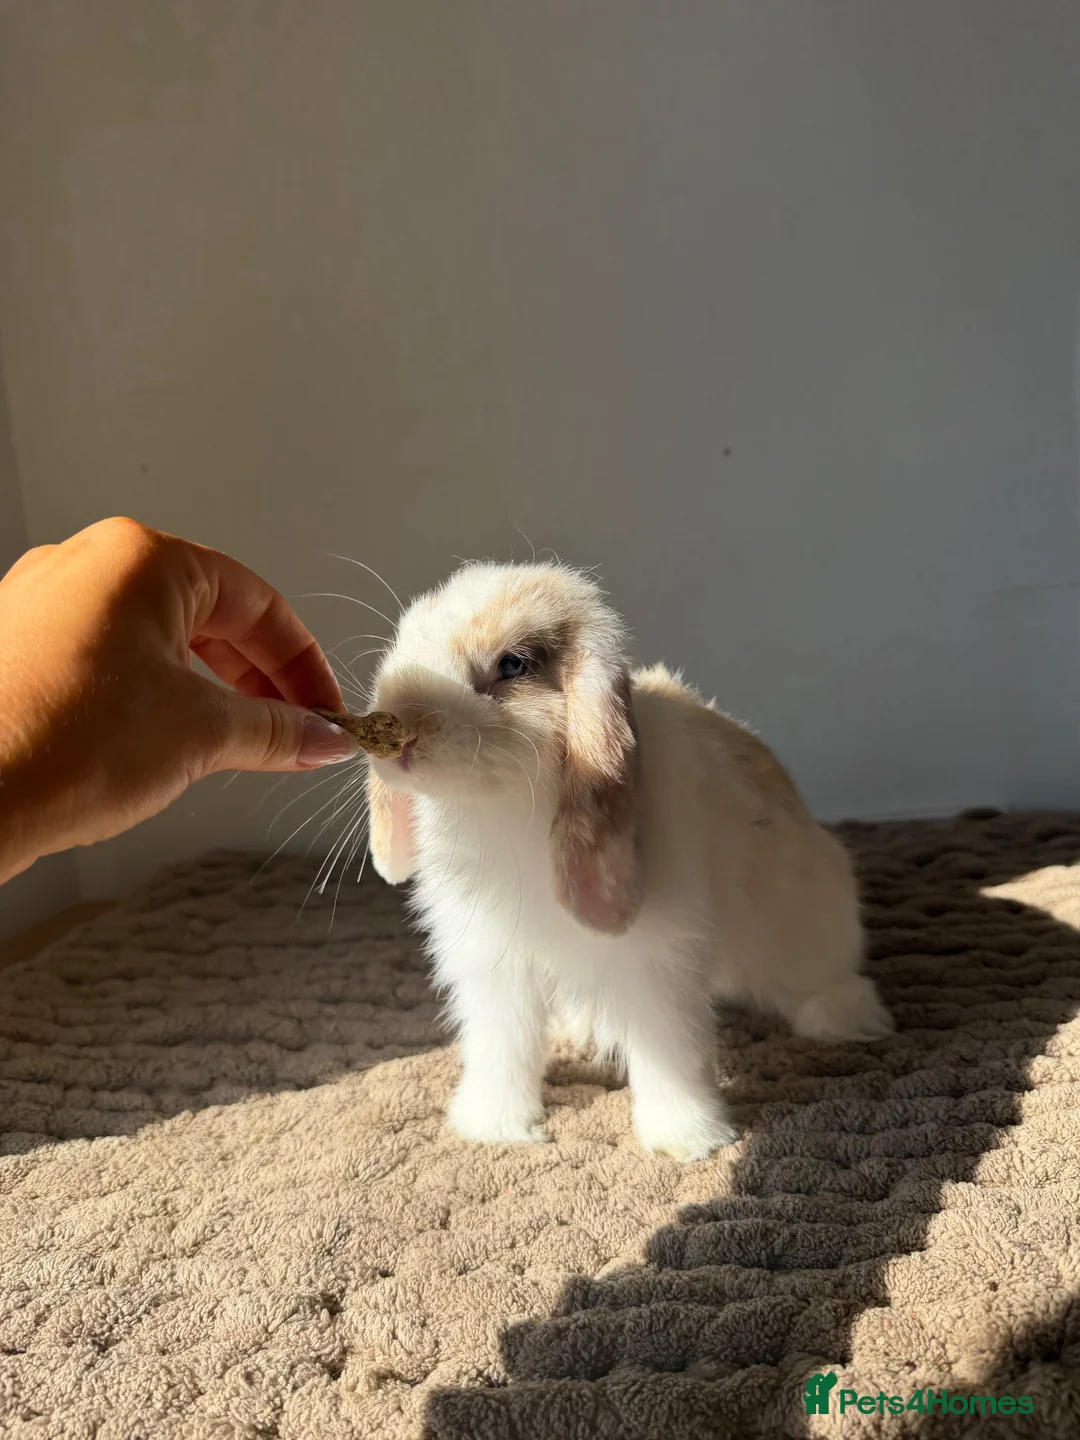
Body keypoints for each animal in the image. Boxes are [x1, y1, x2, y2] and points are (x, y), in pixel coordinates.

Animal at [364, 561, 892, 1161]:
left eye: (513, 664)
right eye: (403, 645)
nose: (397, 732)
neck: (503, 813)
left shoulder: (655, 961)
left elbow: (668, 1050)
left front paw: (689, 1142)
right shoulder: (493, 966)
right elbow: (503, 1047)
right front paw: (492, 1128)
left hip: (807, 924)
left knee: (823, 979)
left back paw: (847, 1019)